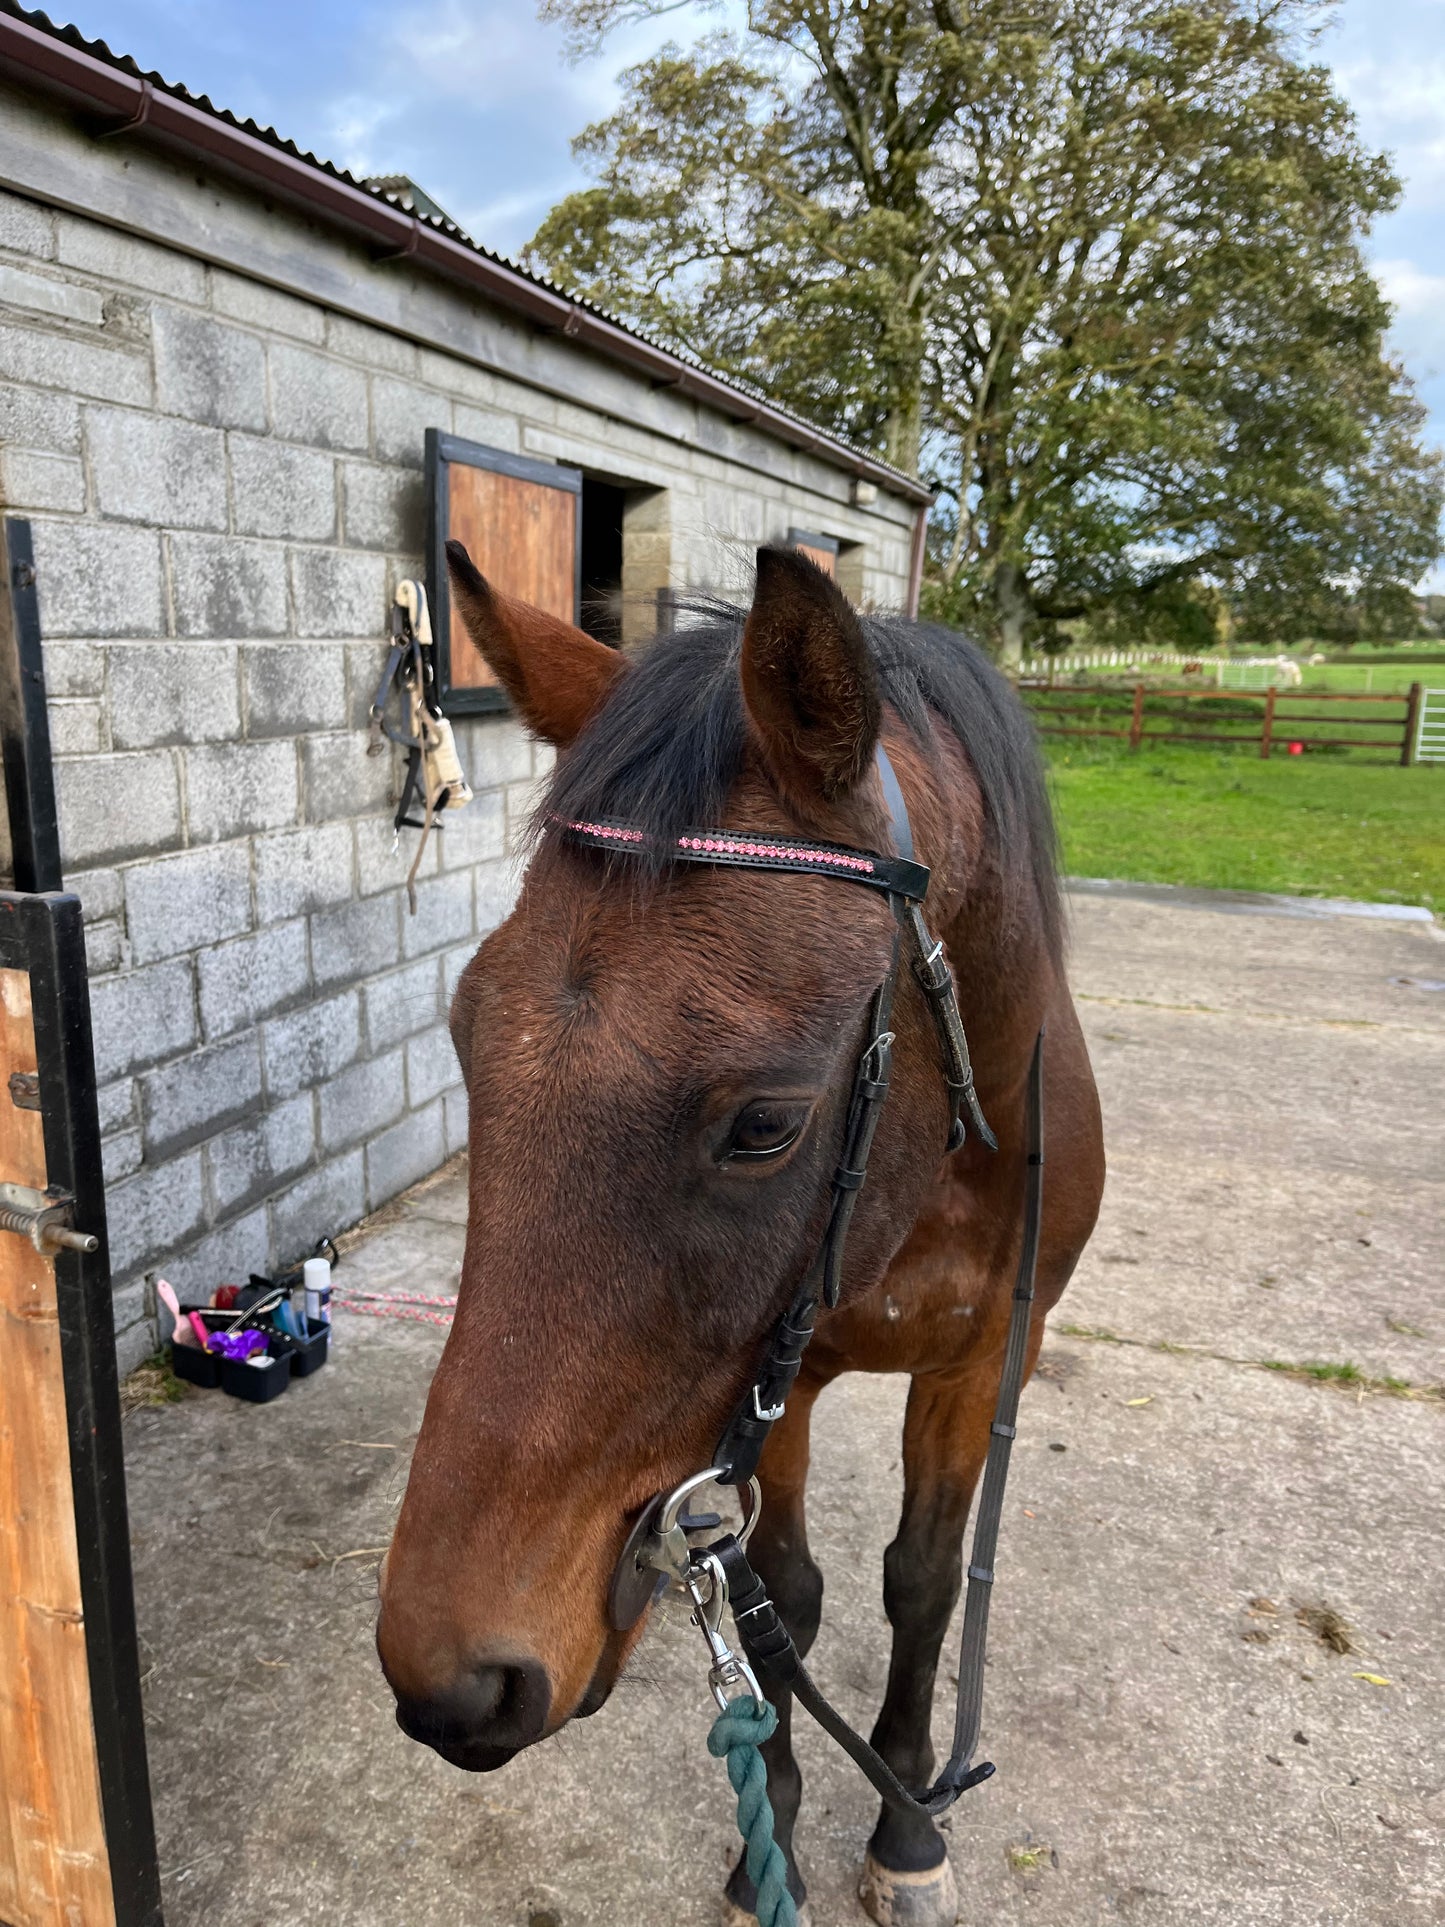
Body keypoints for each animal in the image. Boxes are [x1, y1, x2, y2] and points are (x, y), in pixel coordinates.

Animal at [375, 543, 1109, 1927]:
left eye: (765, 1122)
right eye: (463, 1035)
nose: (453, 1679)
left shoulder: (987, 1355)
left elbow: (920, 1579)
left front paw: (905, 1824)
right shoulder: (783, 1377)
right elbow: (784, 1604)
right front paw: (763, 1829)